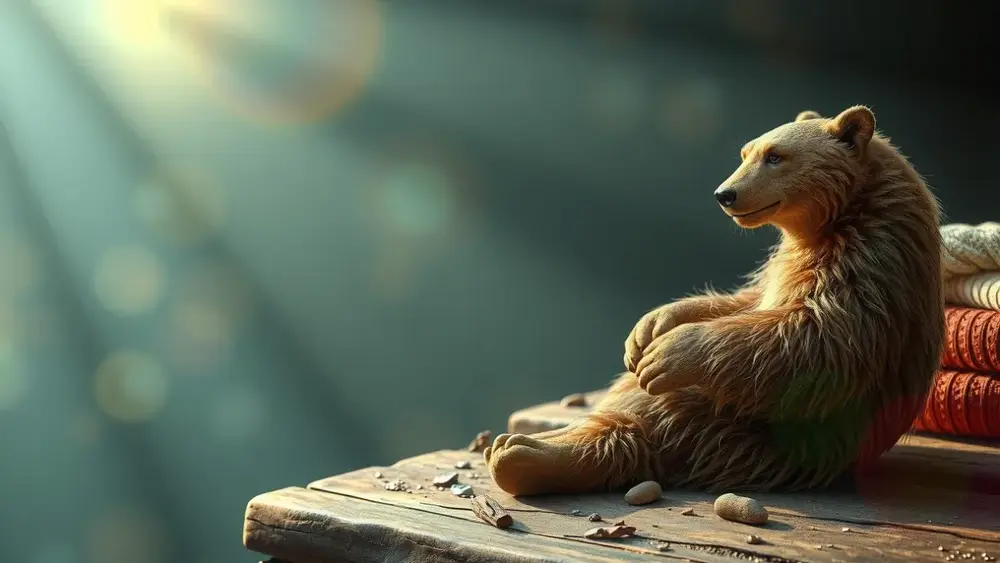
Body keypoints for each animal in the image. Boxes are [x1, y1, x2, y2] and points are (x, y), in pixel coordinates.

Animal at [484, 105, 944, 495]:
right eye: (746, 152)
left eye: (775, 156)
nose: (726, 194)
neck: (841, 216)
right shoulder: (791, 262)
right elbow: (749, 301)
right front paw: (652, 325)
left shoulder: (868, 264)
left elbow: (815, 337)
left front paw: (669, 353)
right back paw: (521, 441)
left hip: (749, 430)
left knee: (663, 418)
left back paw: (526, 455)